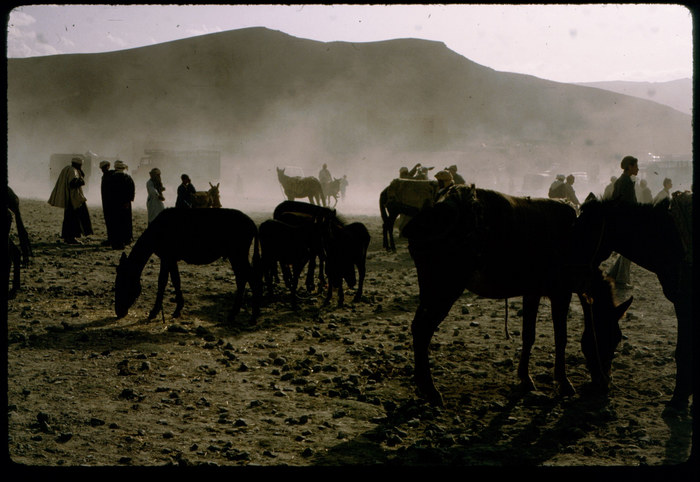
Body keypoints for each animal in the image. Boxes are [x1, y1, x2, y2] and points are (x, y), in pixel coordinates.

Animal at [116, 209, 262, 322]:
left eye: (122, 283)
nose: (118, 312)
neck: (157, 232)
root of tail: (252, 223)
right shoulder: (171, 258)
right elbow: (176, 280)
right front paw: (178, 308)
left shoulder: (166, 257)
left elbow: (162, 281)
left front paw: (154, 312)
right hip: (235, 256)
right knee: (242, 278)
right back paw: (236, 314)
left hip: (238, 254)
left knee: (250, 278)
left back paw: (252, 316)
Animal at [400, 185, 636, 406]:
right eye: (613, 337)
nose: (605, 382)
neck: (578, 240)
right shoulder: (561, 292)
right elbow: (561, 336)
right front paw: (563, 381)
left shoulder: (532, 292)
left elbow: (528, 334)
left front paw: (525, 378)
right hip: (446, 288)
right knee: (423, 329)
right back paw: (430, 390)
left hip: (430, 288)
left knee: (418, 327)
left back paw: (422, 385)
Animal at [572, 193, 692, 410]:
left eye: (584, 228)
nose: (602, 384)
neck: (669, 240)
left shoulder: (683, 301)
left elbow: (683, 351)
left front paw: (678, 398)